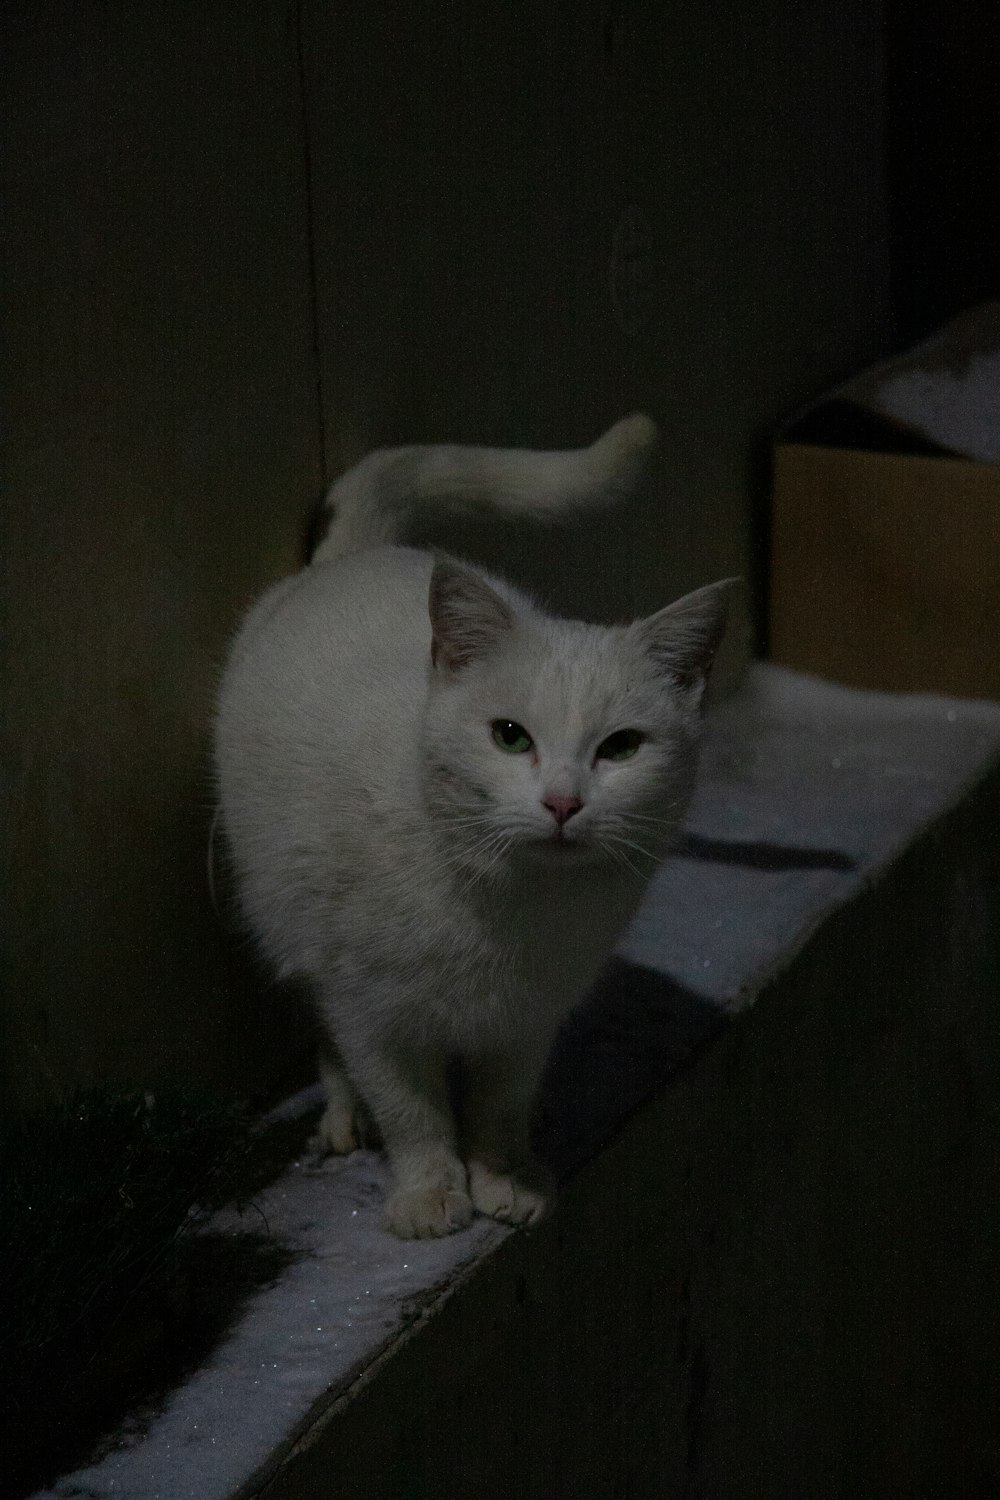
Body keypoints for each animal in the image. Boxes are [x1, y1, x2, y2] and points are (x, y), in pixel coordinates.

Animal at [215, 417, 731, 1236]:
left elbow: (498, 1107)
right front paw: (428, 1193)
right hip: (289, 914)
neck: (507, 906)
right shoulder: (370, 1012)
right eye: (510, 736)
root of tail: (355, 556)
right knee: (323, 1028)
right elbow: (413, 1113)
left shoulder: (527, 1021)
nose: (562, 802)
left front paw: (505, 1177)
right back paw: (344, 1115)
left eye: (621, 747)